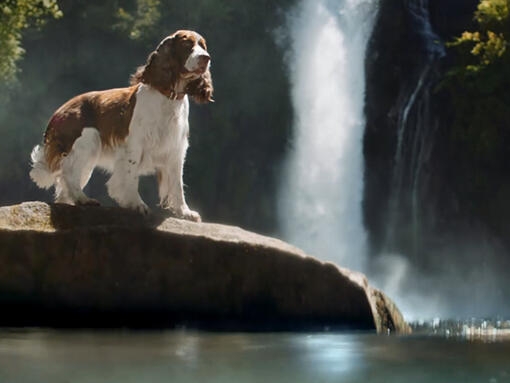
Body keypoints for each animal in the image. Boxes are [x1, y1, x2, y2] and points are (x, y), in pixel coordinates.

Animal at [29, 30, 213, 222]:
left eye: (203, 46)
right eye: (187, 45)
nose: (206, 58)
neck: (168, 97)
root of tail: (57, 113)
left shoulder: (176, 148)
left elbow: (177, 184)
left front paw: (184, 212)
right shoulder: (135, 144)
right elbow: (131, 177)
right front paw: (136, 203)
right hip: (89, 139)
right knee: (69, 174)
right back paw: (84, 199)